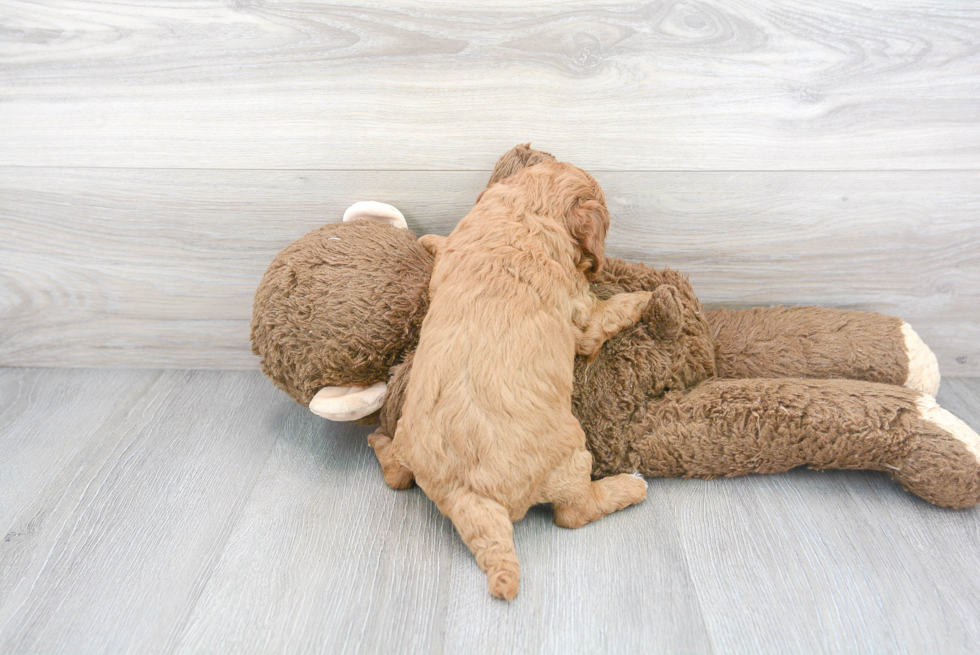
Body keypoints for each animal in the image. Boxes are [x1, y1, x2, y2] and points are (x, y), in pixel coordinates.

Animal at [376, 160, 652, 600]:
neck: (524, 214)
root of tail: (467, 492)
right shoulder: (583, 314)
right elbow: (606, 314)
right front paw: (643, 297)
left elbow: (444, 248)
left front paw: (430, 240)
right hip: (571, 457)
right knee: (574, 513)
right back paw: (631, 485)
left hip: (406, 439)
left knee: (396, 476)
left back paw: (378, 442)